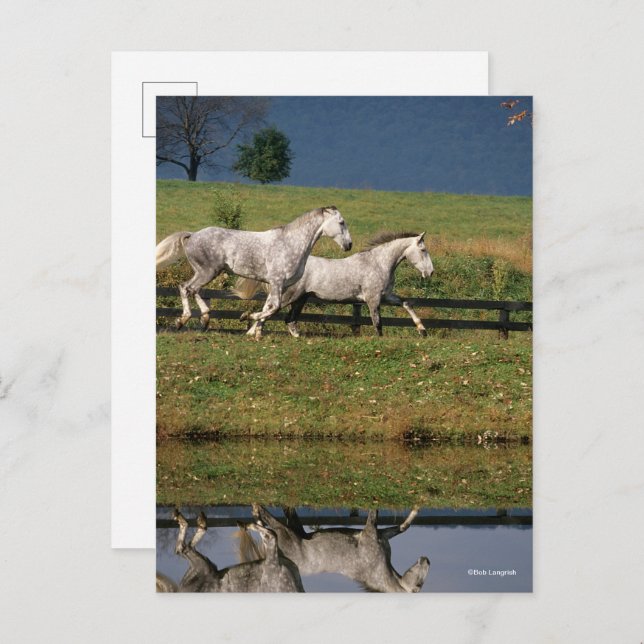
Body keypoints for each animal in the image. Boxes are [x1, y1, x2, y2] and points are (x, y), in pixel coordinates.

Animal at [156, 206, 352, 335]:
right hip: (207, 271)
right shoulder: (277, 281)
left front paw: (256, 334)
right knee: (185, 288)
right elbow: (275, 307)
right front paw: (246, 317)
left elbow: (269, 307)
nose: (349, 245)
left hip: (206, 272)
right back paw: (182, 321)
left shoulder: (277, 285)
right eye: (341, 222)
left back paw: (204, 318)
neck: (291, 244)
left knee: (194, 290)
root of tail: (191, 235)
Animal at [156, 510, 304, 593]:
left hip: (271, 564)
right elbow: (187, 544)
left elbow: (181, 547)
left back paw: (246, 524)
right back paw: (252, 517)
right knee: (268, 533)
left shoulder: (203, 567)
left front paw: (182, 518)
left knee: (272, 535)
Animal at [237, 231, 433, 338]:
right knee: (272, 310)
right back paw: (251, 326)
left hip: (300, 298)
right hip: (289, 296)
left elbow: (407, 303)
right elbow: (377, 323)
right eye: (423, 250)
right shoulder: (373, 298)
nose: (430, 272)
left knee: (287, 318)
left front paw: (422, 330)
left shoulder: (386, 296)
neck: (378, 263)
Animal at [252, 505, 430, 593]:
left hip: (290, 532)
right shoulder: (377, 533)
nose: (427, 560)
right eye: (419, 584)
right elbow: (401, 525)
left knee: (274, 521)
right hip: (290, 531)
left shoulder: (375, 533)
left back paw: (256, 514)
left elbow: (400, 525)